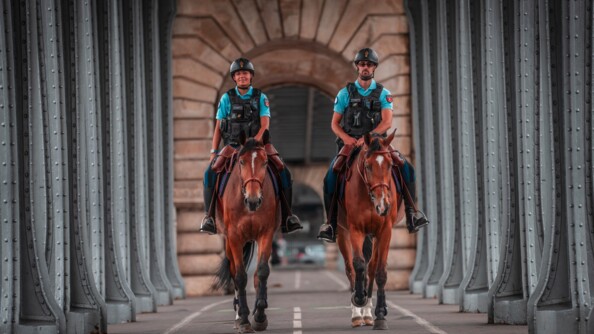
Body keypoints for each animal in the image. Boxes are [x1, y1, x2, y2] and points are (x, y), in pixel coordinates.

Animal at [212, 131, 278, 334]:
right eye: (241, 162)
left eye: (265, 162)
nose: (253, 200)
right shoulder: (234, 237)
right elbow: (240, 277)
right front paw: (243, 319)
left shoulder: (266, 233)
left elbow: (262, 272)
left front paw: (260, 316)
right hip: (229, 242)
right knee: (234, 272)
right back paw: (238, 315)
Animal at [336, 130, 404, 328]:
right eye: (367, 166)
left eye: (390, 165)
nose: (383, 205)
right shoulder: (355, 229)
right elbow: (358, 264)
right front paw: (359, 297)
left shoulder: (385, 231)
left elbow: (379, 271)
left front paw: (380, 314)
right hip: (342, 233)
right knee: (350, 268)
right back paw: (357, 314)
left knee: (372, 267)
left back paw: (368, 313)